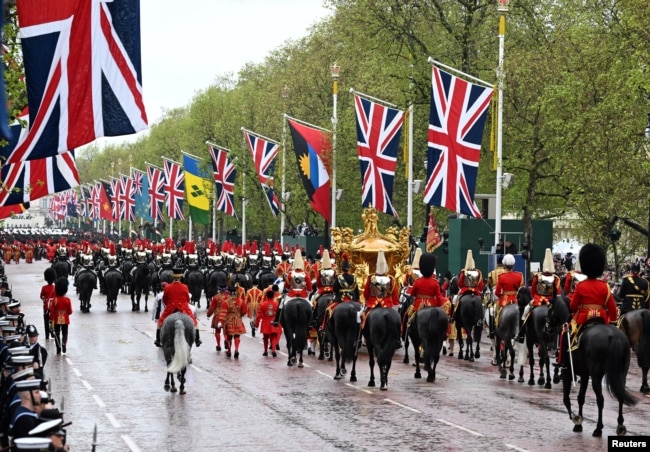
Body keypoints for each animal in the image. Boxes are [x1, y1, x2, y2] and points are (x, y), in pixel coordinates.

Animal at [544, 294, 636, 436]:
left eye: (550, 308)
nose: (547, 328)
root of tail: (614, 336)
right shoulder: (585, 374)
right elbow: (581, 398)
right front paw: (579, 423)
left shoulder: (568, 371)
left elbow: (566, 398)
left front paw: (576, 419)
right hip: (622, 373)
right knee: (620, 395)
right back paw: (620, 426)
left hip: (596, 375)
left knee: (600, 400)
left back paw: (598, 428)